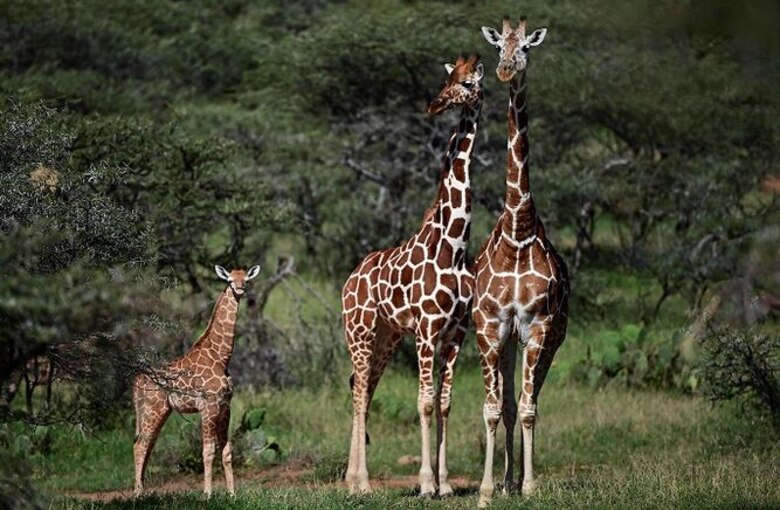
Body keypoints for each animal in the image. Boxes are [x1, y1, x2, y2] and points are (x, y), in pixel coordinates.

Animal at [132, 264, 260, 497]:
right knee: (140, 445)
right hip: (152, 409)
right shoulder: (208, 405)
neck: (221, 356)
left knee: (148, 444)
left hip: (161, 411)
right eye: (229, 280)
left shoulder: (225, 406)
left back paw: (142, 491)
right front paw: (207, 495)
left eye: (246, 279)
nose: (240, 289)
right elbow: (208, 451)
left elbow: (227, 451)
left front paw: (232, 494)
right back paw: (137, 494)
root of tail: (136, 381)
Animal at [342, 54, 484, 497]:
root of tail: (349, 280)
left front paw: (446, 485)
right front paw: (425, 484)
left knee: (364, 390)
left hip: (386, 338)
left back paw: (353, 480)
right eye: (448, 79)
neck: (455, 246)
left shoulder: (456, 332)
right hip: (360, 332)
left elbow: (444, 403)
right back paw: (361, 483)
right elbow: (422, 401)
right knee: (359, 393)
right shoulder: (426, 329)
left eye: (469, 83)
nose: (434, 105)